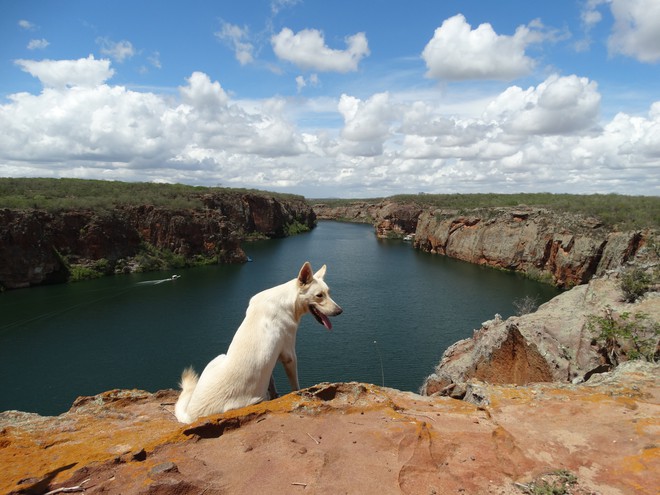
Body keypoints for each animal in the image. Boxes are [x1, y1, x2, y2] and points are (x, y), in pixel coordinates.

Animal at [173, 262, 342, 424]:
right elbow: (295, 385)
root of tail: (192, 414)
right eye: (319, 295)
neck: (288, 300)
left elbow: (271, 380)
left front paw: (275, 394)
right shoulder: (289, 355)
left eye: (329, 293)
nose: (340, 311)